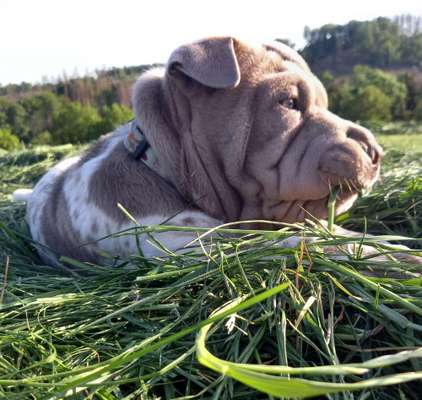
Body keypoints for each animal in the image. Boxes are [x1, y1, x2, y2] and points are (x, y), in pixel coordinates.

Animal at [13, 35, 418, 266]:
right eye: (289, 102)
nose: (375, 150)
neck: (160, 166)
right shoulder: (201, 241)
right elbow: (303, 241)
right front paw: (398, 258)